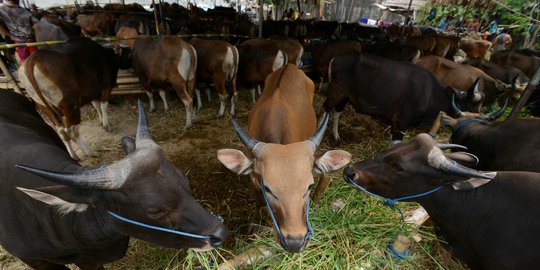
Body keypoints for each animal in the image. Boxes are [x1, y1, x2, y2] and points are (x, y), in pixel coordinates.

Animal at [217, 63, 352, 253]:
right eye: (268, 188)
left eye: (309, 186)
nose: (294, 243)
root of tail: (289, 66)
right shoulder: (253, 177)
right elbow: (258, 201)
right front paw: (255, 224)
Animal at [322, 51, 484, 142]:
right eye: (471, 105)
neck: (430, 94)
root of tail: (335, 59)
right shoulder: (401, 122)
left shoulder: (395, 124)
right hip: (336, 92)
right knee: (325, 108)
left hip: (345, 97)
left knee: (337, 111)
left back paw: (336, 136)